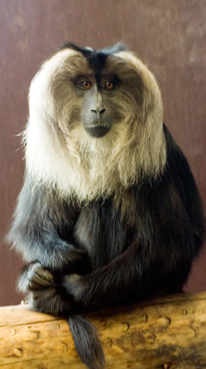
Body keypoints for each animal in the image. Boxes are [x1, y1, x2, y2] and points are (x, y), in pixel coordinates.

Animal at [7, 41, 205, 366]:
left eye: (110, 85)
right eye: (85, 84)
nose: (98, 108)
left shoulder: (150, 156)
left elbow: (166, 247)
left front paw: (63, 290)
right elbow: (30, 227)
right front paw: (41, 271)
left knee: (102, 207)